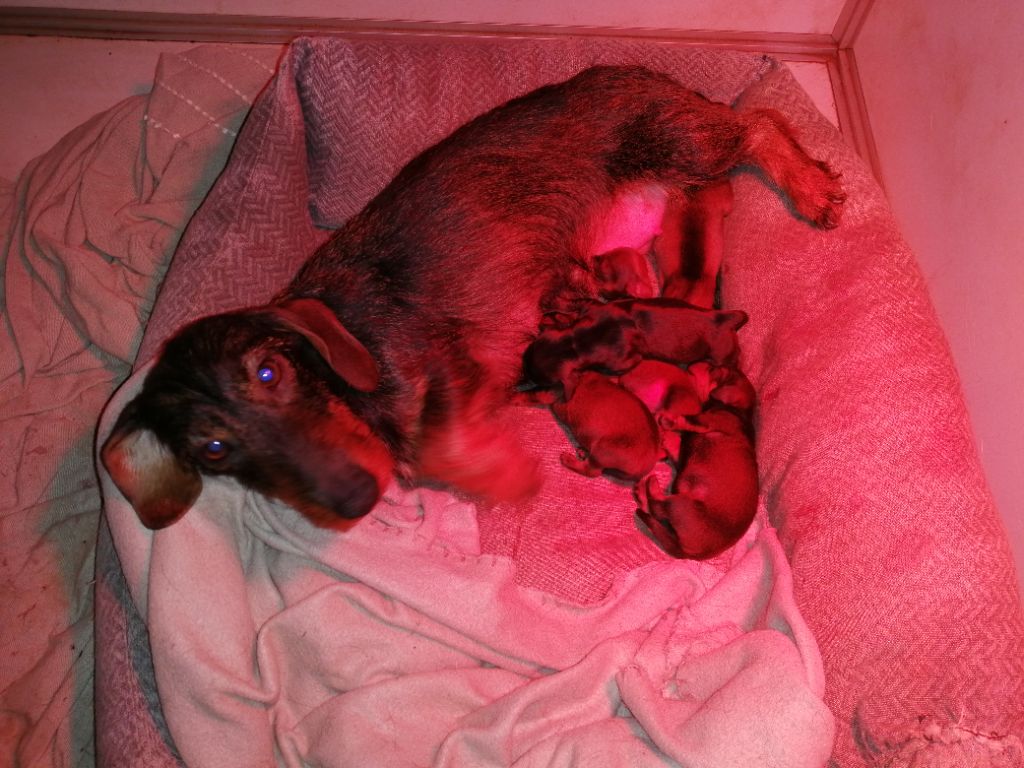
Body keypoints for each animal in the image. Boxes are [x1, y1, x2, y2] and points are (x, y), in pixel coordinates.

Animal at [101, 64, 844, 529]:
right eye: (212, 450)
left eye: (268, 372)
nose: (353, 499)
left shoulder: (448, 363)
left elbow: (441, 448)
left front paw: (506, 474)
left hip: (688, 143)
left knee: (760, 121)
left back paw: (811, 185)